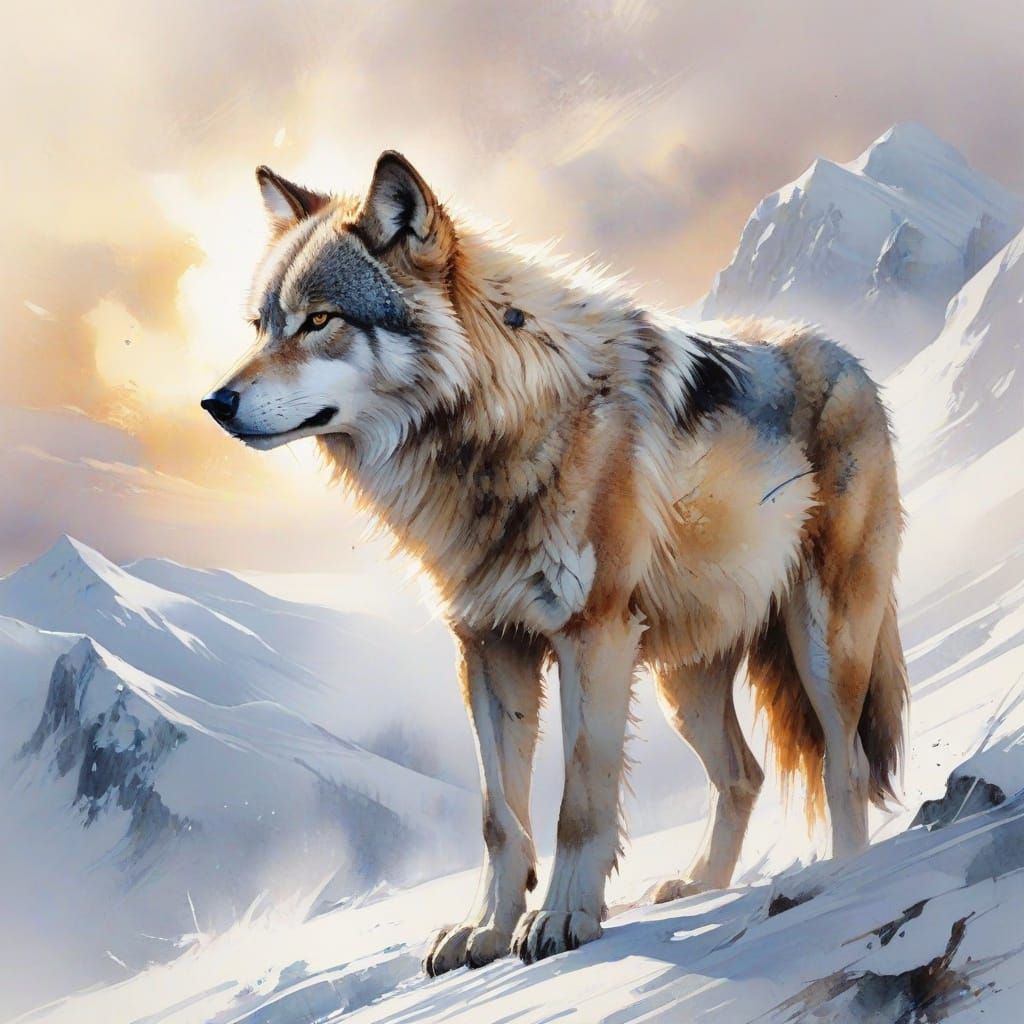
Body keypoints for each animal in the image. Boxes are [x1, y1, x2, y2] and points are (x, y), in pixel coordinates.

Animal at [202, 152, 907, 973]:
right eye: (262, 326)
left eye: (320, 320)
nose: (214, 402)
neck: (499, 430)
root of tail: (845, 354)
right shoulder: (487, 645)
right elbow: (499, 815)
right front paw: (485, 928)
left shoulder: (590, 635)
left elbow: (580, 802)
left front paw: (565, 917)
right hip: (681, 676)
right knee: (743, 772)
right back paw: (700, 884)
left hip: (820, 642)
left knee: (844, 764)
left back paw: (840, 880)